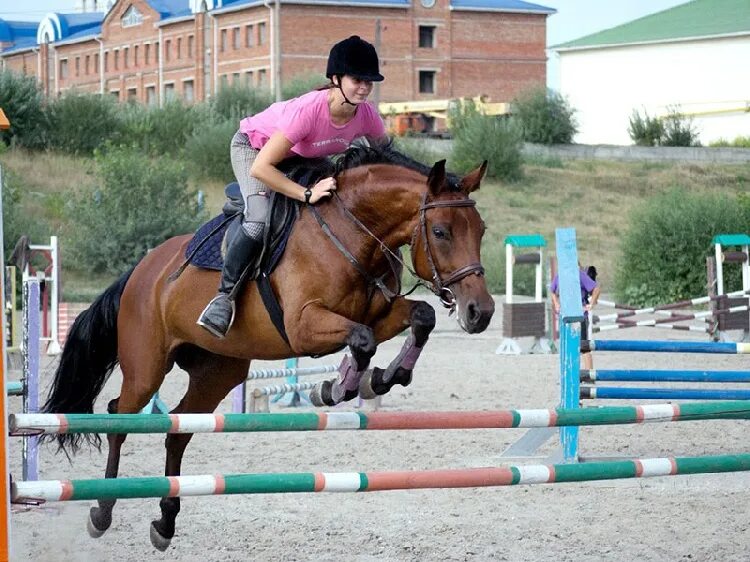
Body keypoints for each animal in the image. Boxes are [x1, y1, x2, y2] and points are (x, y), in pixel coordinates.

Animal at [44, 143, 496, 548]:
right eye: (440, 232)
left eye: (481, 231)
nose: (481, 312)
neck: (352, 233)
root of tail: (141, 269)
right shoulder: (302, 326)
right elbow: (362, 339)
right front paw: (337, 388)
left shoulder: (381, 314)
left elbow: (420, 317)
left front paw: (382, 378)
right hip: (146, 367)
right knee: (119, 418)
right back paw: (102, 512)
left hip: (217, 372)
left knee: (178, 431)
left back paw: (165, 523)